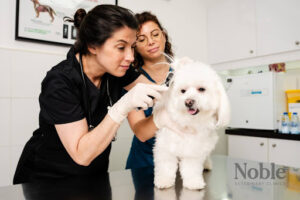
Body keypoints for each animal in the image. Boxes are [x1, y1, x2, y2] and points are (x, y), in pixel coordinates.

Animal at [152, 57, 230, 190]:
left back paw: (207, 165)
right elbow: (166, 166)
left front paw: (193, 182)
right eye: (183, 91)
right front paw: (163, 180)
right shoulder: (165, 146)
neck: (189, 122)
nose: (188, 102)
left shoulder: (194, 150)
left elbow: (191, 168)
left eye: (201, 89)